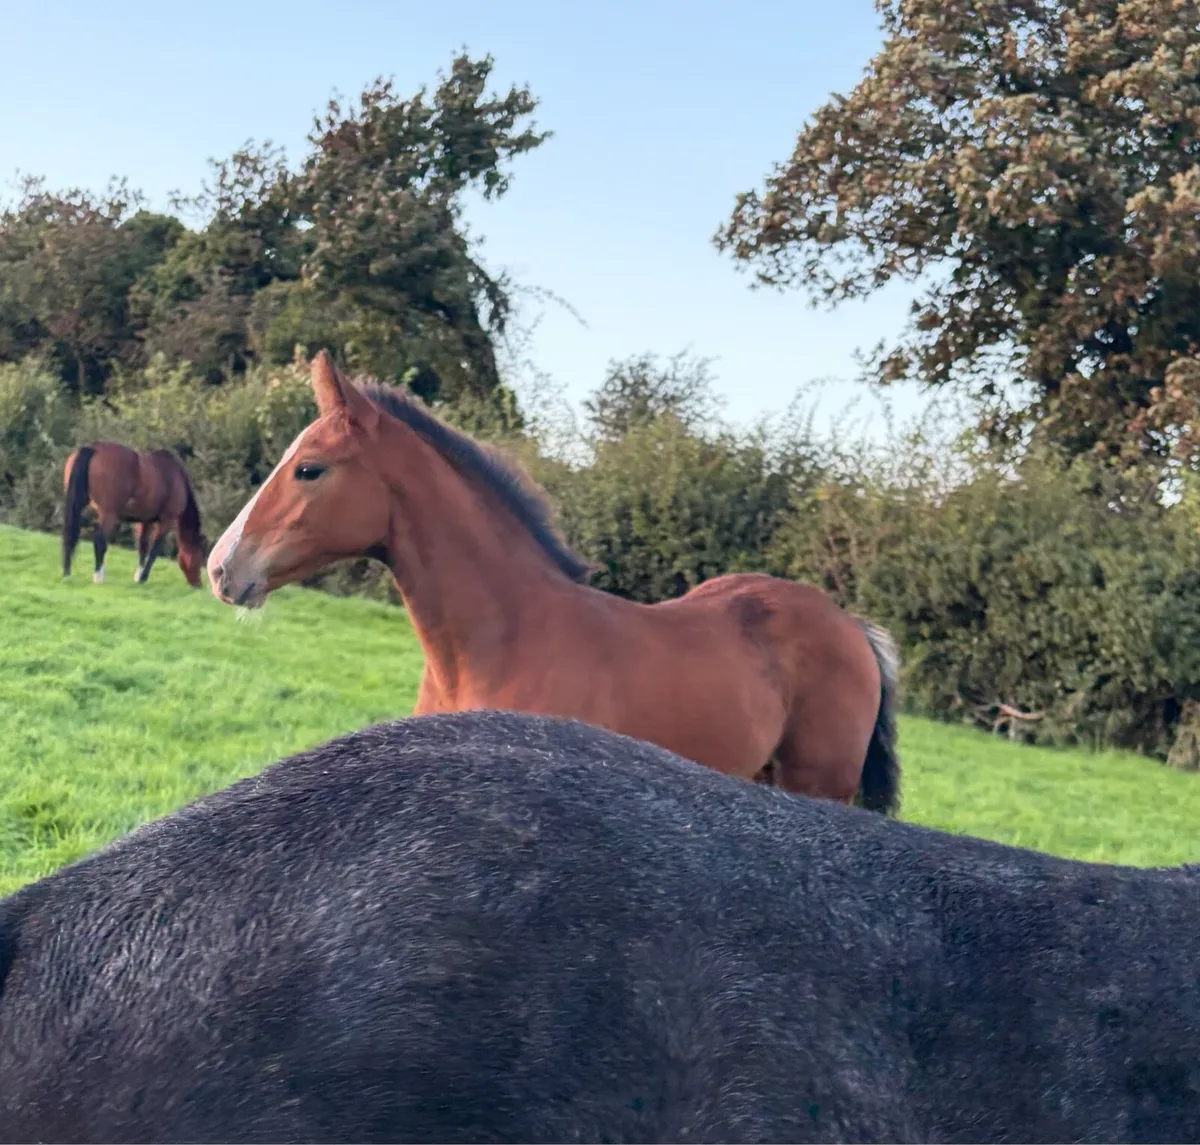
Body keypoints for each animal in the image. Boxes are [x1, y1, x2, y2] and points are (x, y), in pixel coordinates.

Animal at [62, 441, 209, 588]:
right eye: (200, 557)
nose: (198, 585)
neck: (175, 476)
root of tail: (93, 448)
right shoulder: (167, 521)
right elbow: (154, 550)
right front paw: (143, 577)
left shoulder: (145, 521)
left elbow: (142, 546)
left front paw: (138, 576)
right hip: (109, 514)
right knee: (100, 540)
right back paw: (98, 577)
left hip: (78, 504)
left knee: (70, 533)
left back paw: (67, 572)